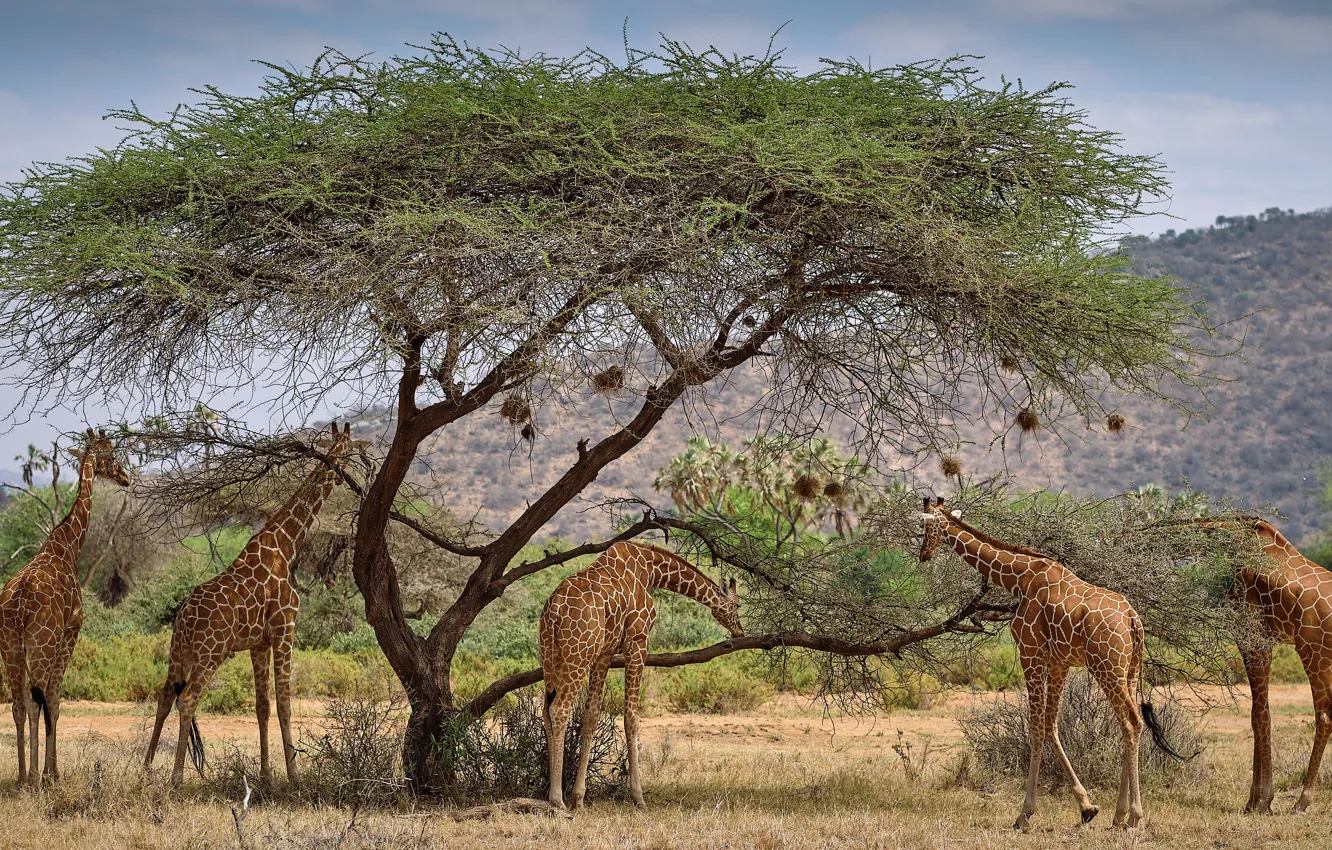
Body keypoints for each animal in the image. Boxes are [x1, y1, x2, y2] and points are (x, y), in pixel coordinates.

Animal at [0, 428, 130, 788]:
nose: (126, 478)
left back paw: (20, 777)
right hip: (40, 646)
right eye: (111, 455)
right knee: (36, 701)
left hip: (10, 648)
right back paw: (34, 776)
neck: (69, 545)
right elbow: (55, 702)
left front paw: (46, 771)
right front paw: (52, 772)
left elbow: (44, 703)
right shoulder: (71, 632)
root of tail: (19, 603)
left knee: (18, 704)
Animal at [144, 422, 359, 788]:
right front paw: (294, 776)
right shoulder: (286, 630)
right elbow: (285, 704)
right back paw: (176, 777)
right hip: (210, 654)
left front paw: (266, 775)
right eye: (344, 452)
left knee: (164, 697)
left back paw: (145, 768)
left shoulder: (259, 643)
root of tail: (184, 619)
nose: (343, 476)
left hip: (177, 652)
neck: (286, 544)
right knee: (187, 701)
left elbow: (262, 707)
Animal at [539, 540, 742, 810]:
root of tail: (554, 610)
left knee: (546, 710)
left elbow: (591, 715)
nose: (740, 631)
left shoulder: (604, 652)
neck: (652, 571)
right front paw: (638, 797)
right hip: (577, 655)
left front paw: (579, 797)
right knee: (559, 709)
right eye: (738, 605)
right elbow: (631, 717)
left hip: (549, 656)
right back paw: (556, 799)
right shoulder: (637, 641)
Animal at [918, 497, 1182, 830]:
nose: (923, 554)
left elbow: (1035, 727)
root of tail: (1133, 620)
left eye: (925, 527)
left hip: (1106, 668)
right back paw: (1118, 815)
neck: (1019, 578)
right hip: (1130, 670)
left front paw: (1024, 814)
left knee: (1132, 722)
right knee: (1127, 724)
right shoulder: (1059, 662)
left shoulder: (1029, 652)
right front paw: (1087, 807)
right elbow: (1051, 725)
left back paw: (1134, 815)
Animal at [1210, 516, 1332, 814]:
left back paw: (1303, 799)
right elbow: (1260, 712)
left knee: (1324, 715)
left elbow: (1259, 715)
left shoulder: (1252, 637)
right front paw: (1257, 800)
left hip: (1313, 652)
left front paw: (1261, 801)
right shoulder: (1263, 639)